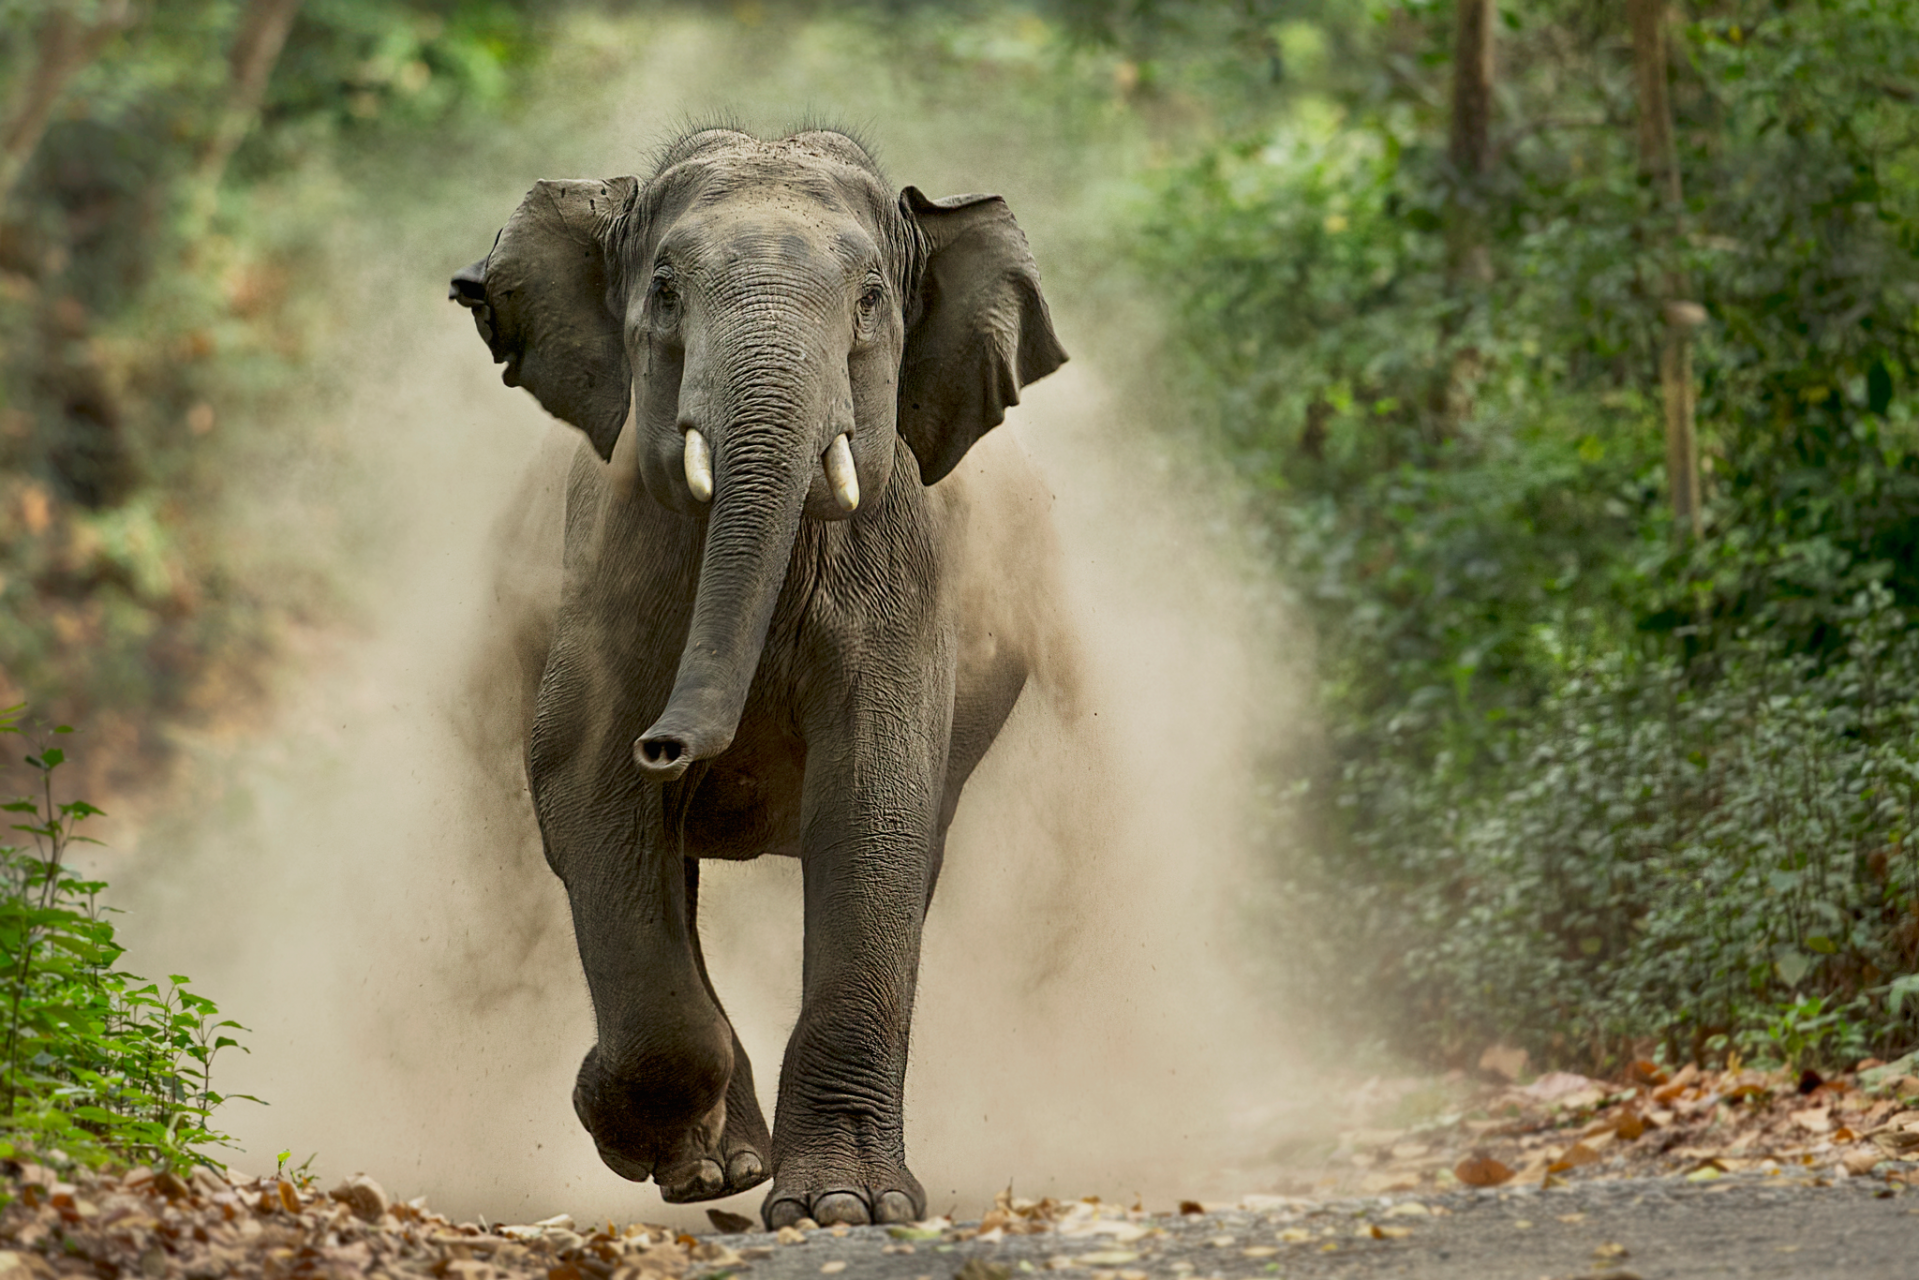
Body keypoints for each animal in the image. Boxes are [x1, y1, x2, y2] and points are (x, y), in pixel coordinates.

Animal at [450, 130, 1074, 1228]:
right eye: (662, 289)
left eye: (871, 298)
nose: (671, 742)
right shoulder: (609, 561)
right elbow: (583, 782)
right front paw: (620, 1119)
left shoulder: (901, 572)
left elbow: (876, 805)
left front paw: (846, 1210)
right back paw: (716, 1168)